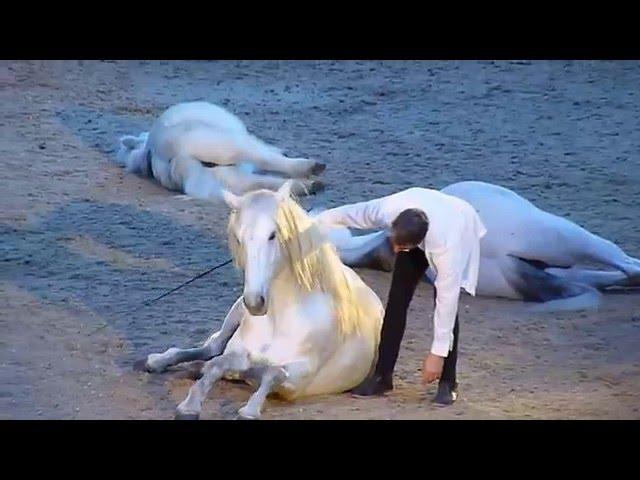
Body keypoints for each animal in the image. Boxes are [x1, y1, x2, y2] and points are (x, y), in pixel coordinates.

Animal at [114, 101, 324, 199]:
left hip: (219, 173)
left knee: (253, 182)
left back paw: (308, 186)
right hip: (226, 144)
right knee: (266, 161)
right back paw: (311, 169)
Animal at [136, 182, 382, 418]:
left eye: (273, 235)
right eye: (238, 238)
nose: (255, 303)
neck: (279, 320)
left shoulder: (298, 379)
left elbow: (273, 373)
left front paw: (248, 411)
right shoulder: (239, 353)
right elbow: (218, 363)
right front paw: (189, 405)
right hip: (234, 313)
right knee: (211, 347)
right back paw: (159, 361)